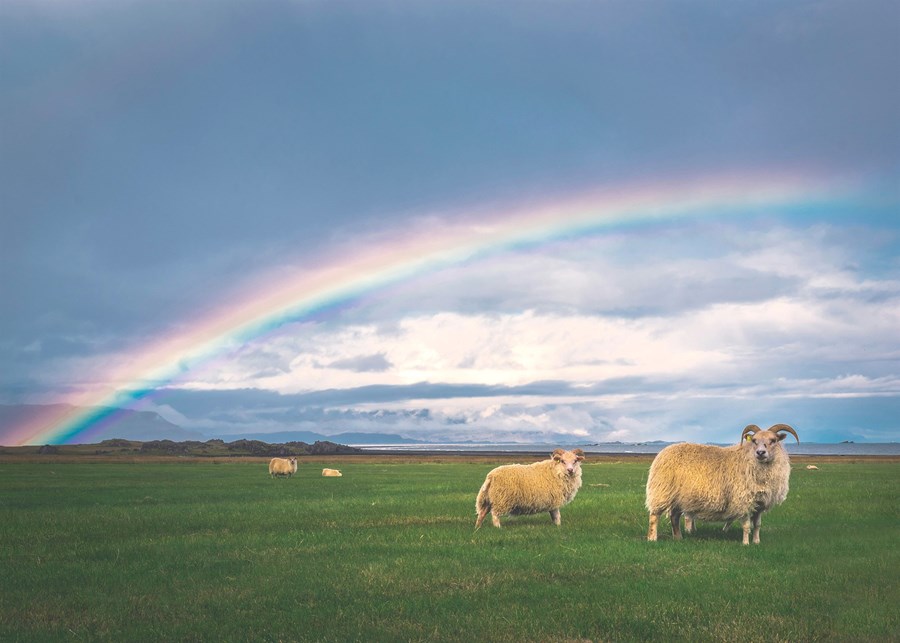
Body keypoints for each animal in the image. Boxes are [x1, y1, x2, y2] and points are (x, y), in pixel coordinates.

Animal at [644, 426, 800, 544]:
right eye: (754, 441)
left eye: (773, 440)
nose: (760, 452)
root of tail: (663, 452)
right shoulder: (743, 500)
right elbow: (746, 525)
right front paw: (745, 543)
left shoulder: (759, 503)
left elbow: (757, 525)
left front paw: (756, 542)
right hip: (662, 491)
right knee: (654, 516)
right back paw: (652, 538)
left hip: (679, 498)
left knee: (674, 517)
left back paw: (678, 538)